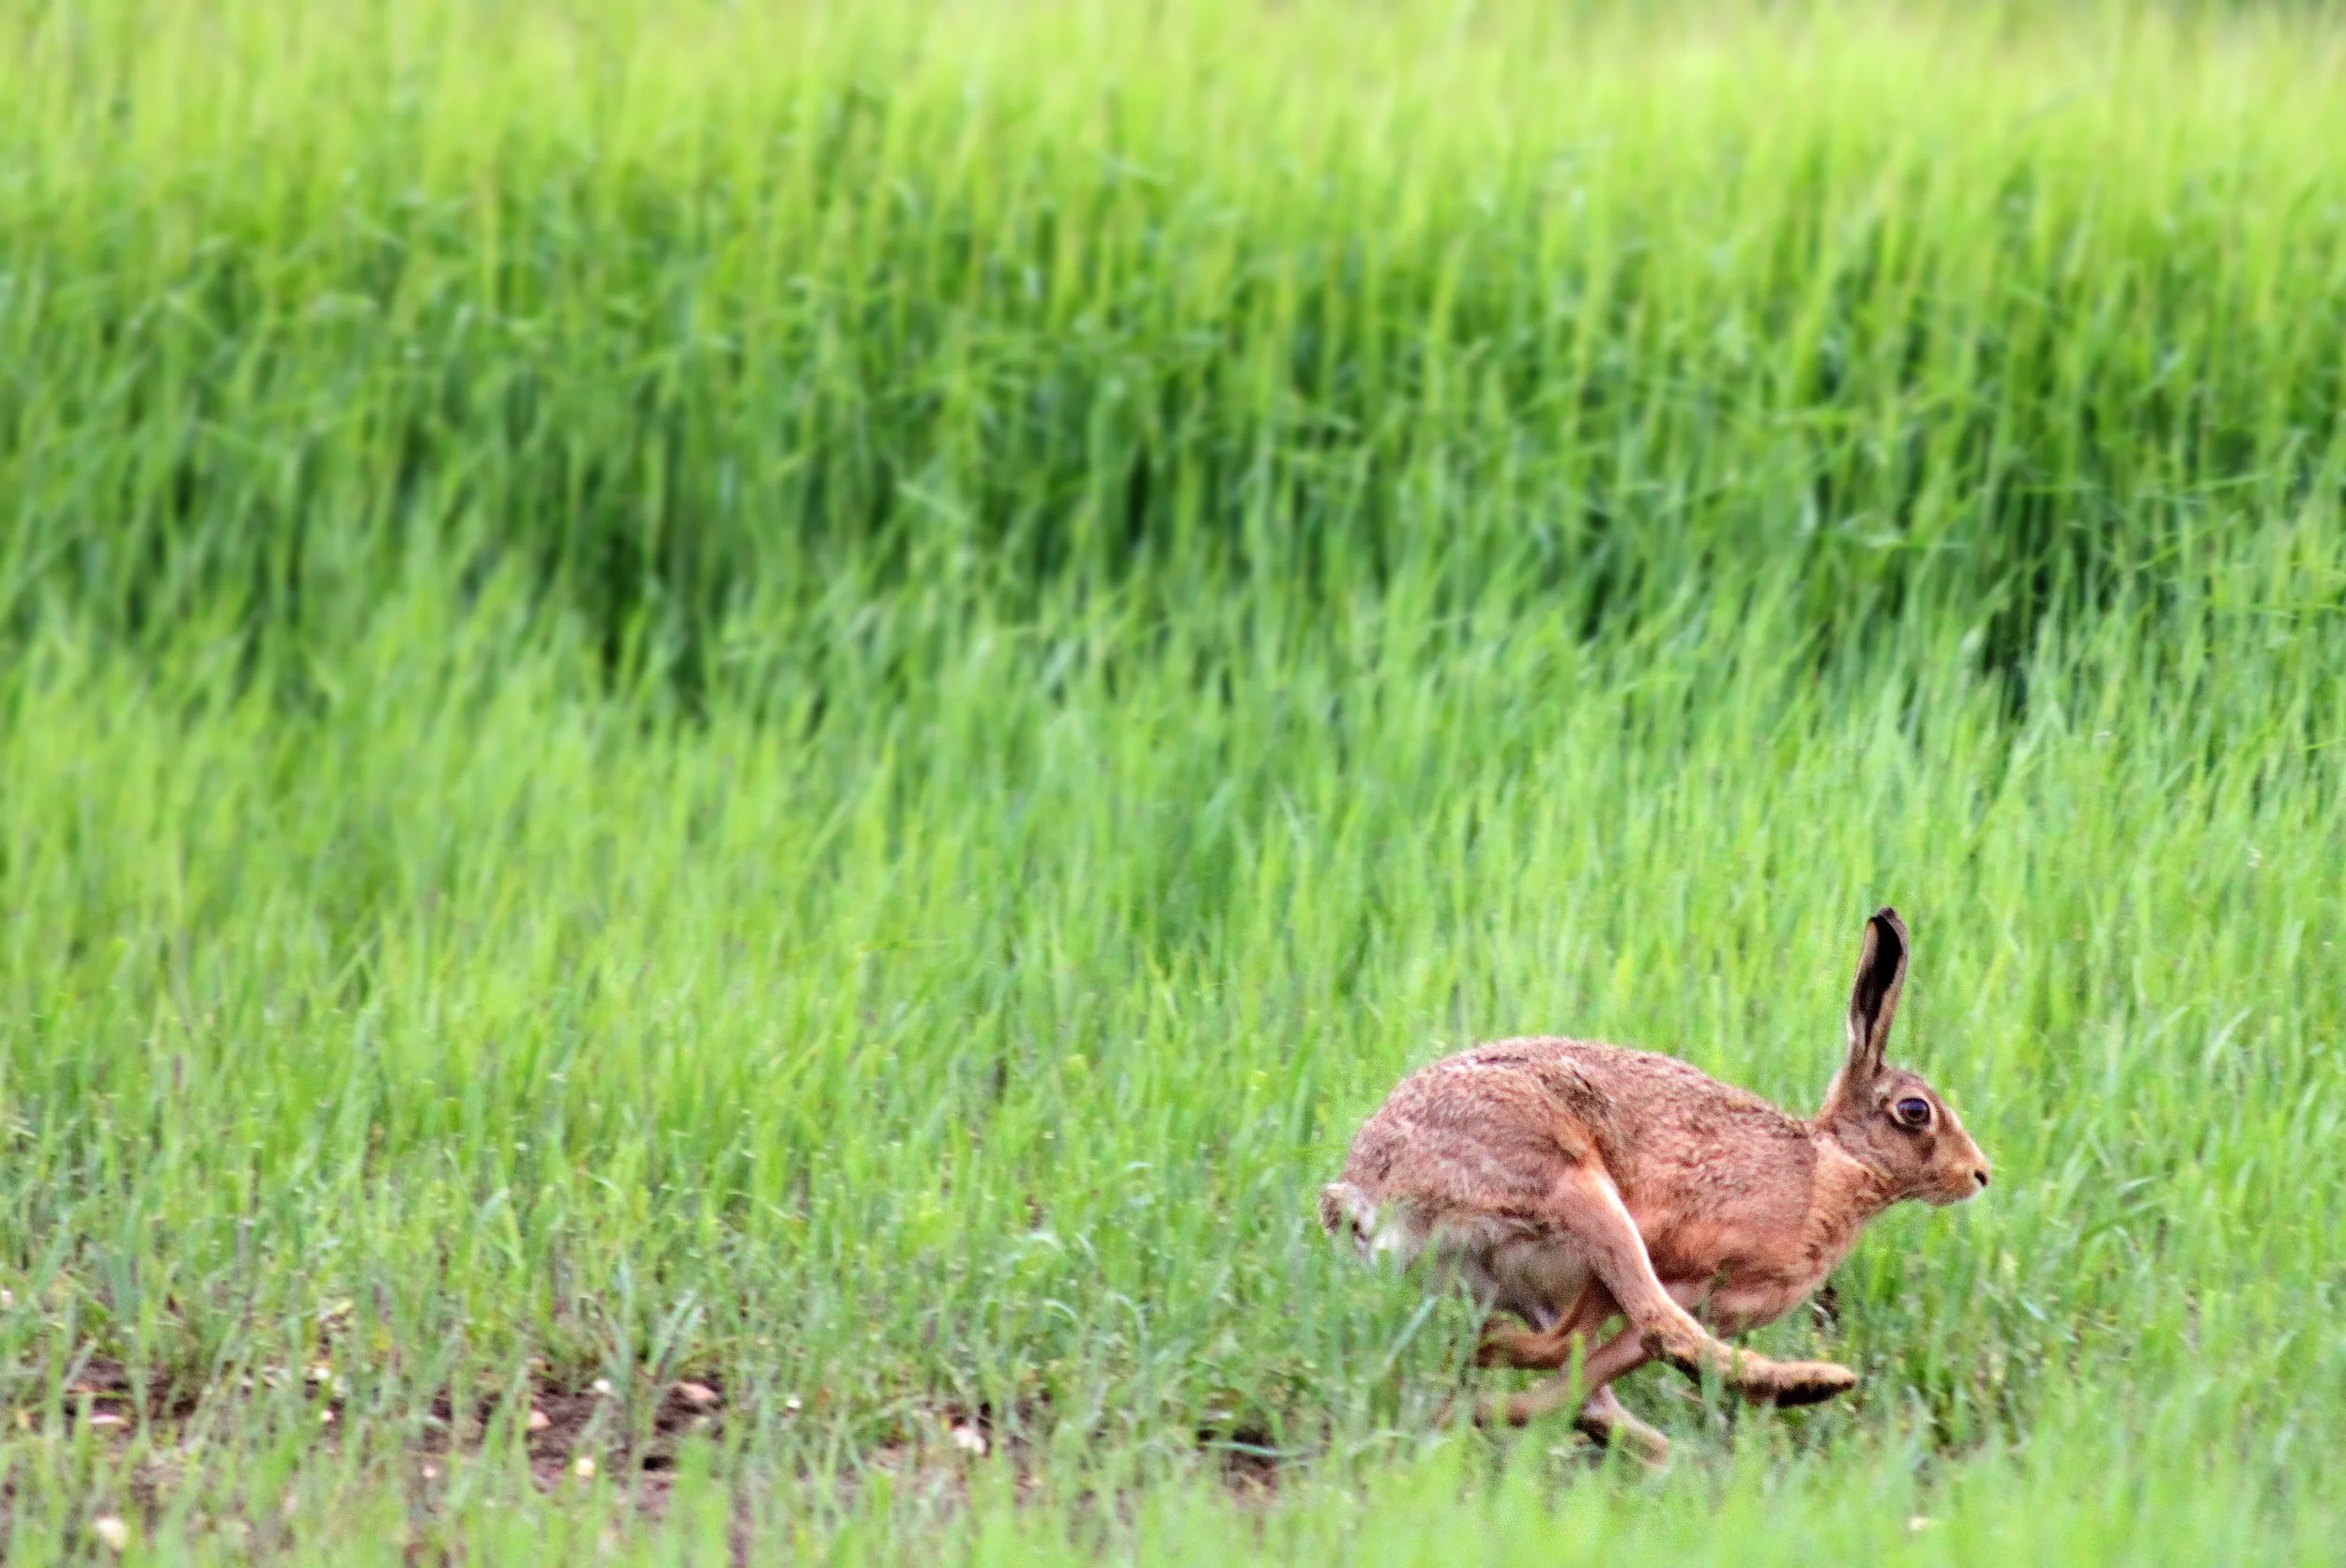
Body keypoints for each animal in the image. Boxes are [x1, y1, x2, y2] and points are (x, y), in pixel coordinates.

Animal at [1318, 908, 1987, 1461]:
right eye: (1915, 1111)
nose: (1979, 1175)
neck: (1833, 1166)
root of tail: (1365, 1196)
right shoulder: (1670, 1251)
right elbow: (1632, 1334)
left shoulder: (1704, 1302)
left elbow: (1598, 1367)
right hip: (1576, 1190)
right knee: (1615, 1333)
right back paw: (1811, 1384)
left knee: (1585, 1374)